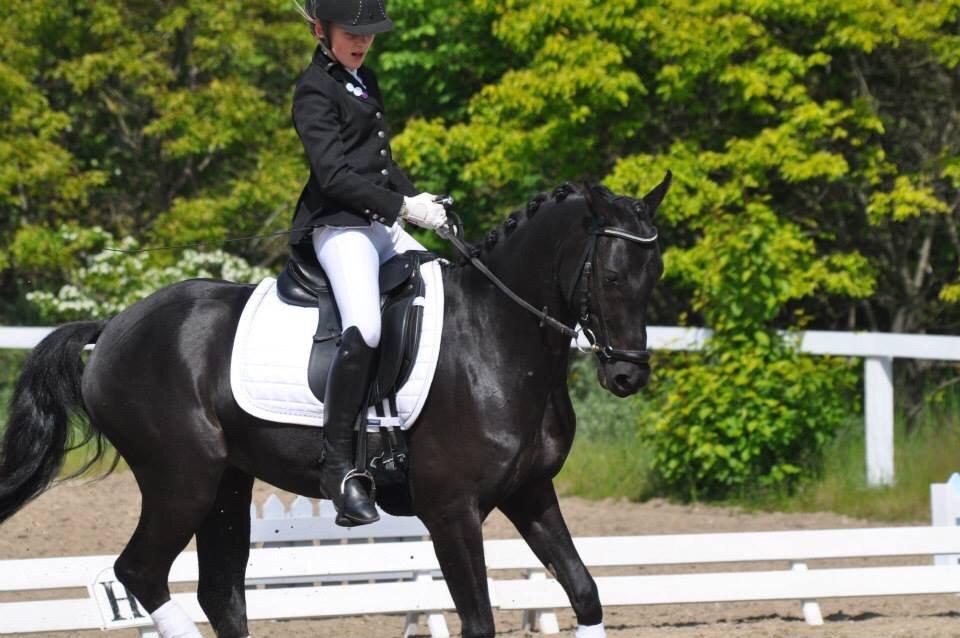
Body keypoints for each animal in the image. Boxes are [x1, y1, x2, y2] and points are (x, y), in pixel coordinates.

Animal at [0, 175, 669, 637]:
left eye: (654, 274)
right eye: (612, 277)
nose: (627, 374)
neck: (497, 336)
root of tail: (114, 326)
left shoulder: (530, 493)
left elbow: (585, 592)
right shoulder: (452, 511)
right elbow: (478, 621)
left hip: (225, 484)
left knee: (222, 594)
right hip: (180, 480)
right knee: (140, 572)